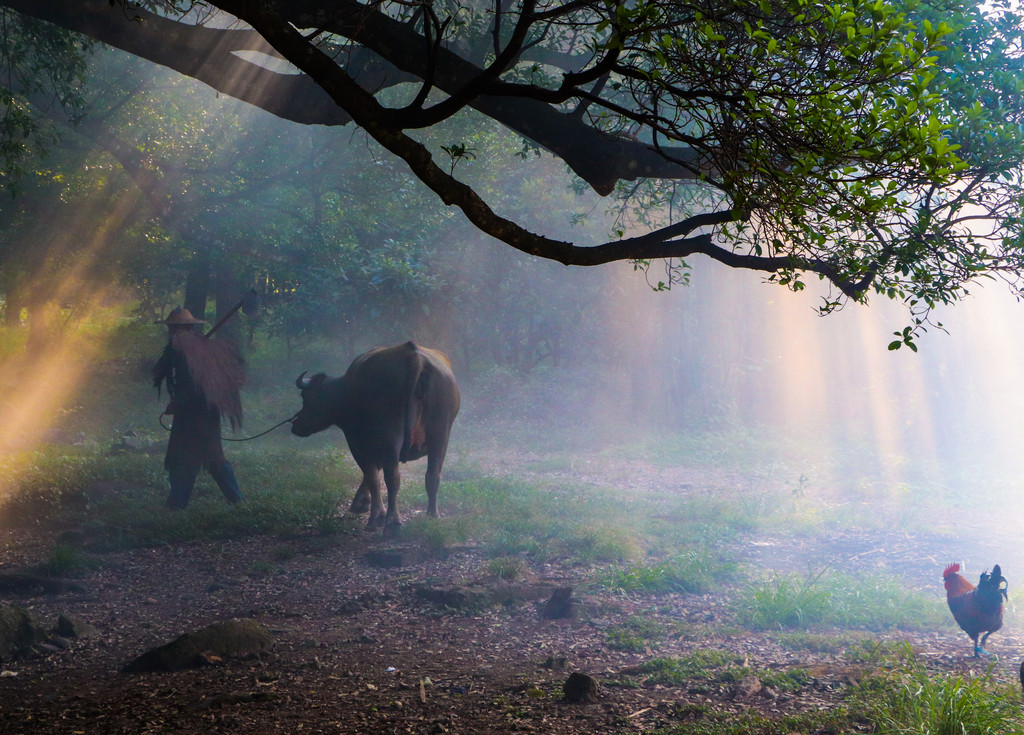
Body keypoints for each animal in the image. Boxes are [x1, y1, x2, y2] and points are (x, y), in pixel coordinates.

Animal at [292, 341, 460, 536]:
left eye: (305, 397)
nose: (296, 424)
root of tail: (413, 356)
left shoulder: (357, 441)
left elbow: (371, 474)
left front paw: (374, 514)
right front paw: (361, 503)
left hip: (392, 435)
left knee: (392, 477)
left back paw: (392, 522)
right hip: (440, 433)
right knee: (433, 474)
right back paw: (432, 515)